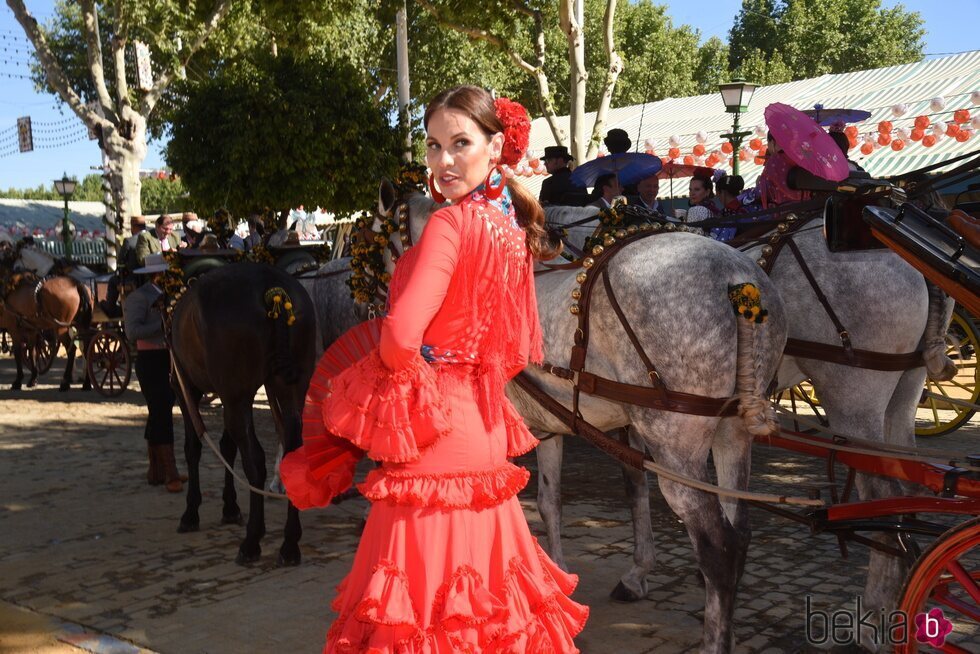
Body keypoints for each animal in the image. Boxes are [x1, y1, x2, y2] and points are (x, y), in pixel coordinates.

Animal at [168, 264, 314, 568]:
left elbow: (193, 447)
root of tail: (271, 287)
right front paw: (230, 506)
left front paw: (191, 511)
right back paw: (289, 544)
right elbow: (227, 446)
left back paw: (251, 541)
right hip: (287, 389)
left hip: (236, 395)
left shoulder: (185, 388)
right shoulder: (230, 396)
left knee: (254, 460)